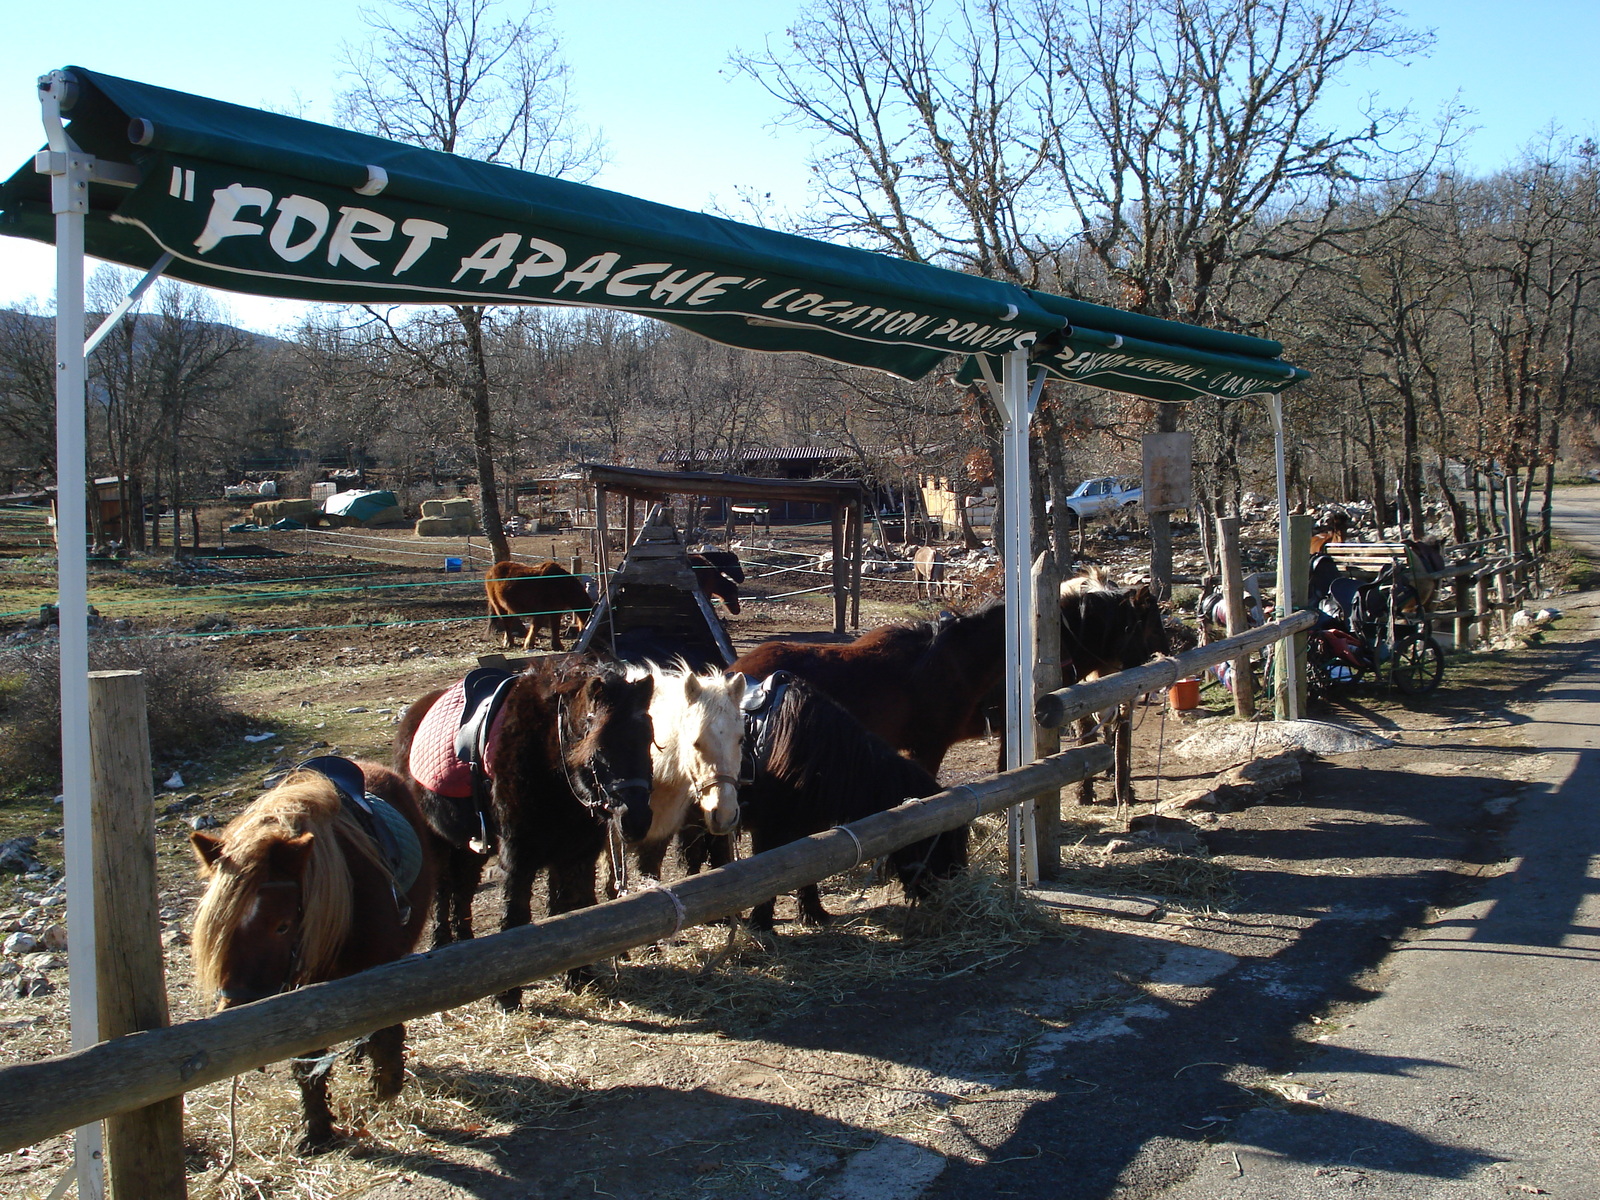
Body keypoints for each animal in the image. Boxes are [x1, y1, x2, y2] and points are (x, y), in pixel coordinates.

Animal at [188, 761, 432, 1158]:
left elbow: (387, 1030)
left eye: (282, 925)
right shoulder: (302, 993)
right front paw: (317, 1130)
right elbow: (307, 1061)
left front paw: (386, 1086)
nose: (238, 1012)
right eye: (219, 927)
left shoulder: (382, 967)